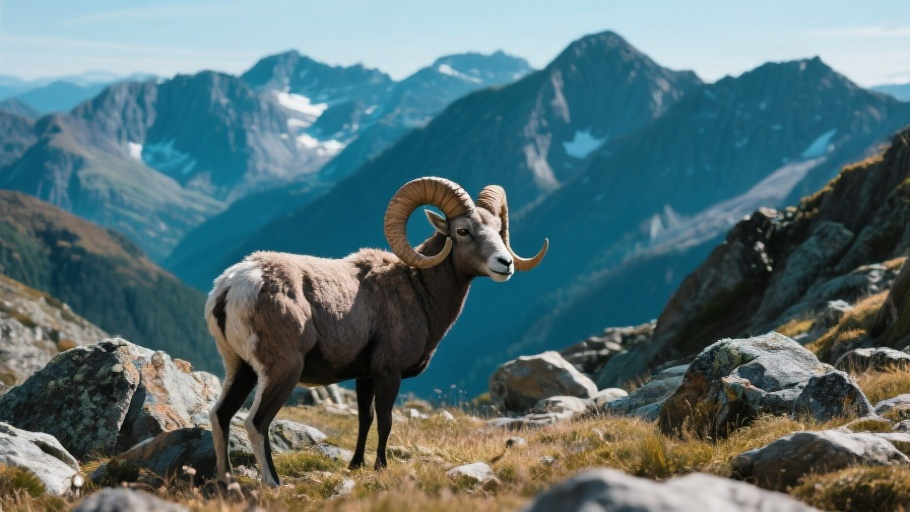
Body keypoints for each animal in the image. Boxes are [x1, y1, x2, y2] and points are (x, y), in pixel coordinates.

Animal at [204, 177, 548, 486]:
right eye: (463, 231)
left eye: (498, 229)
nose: (505, 263)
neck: (418, 289)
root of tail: (234, 285)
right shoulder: (387, 372)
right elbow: (385, 421)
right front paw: (381, 467)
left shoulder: (364, 376)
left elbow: (364, 419)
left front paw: (356, 465)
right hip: (281, 370)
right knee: (256, 422)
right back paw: (273, 483)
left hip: (241, 369)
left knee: (221, 416)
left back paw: (226, 481)